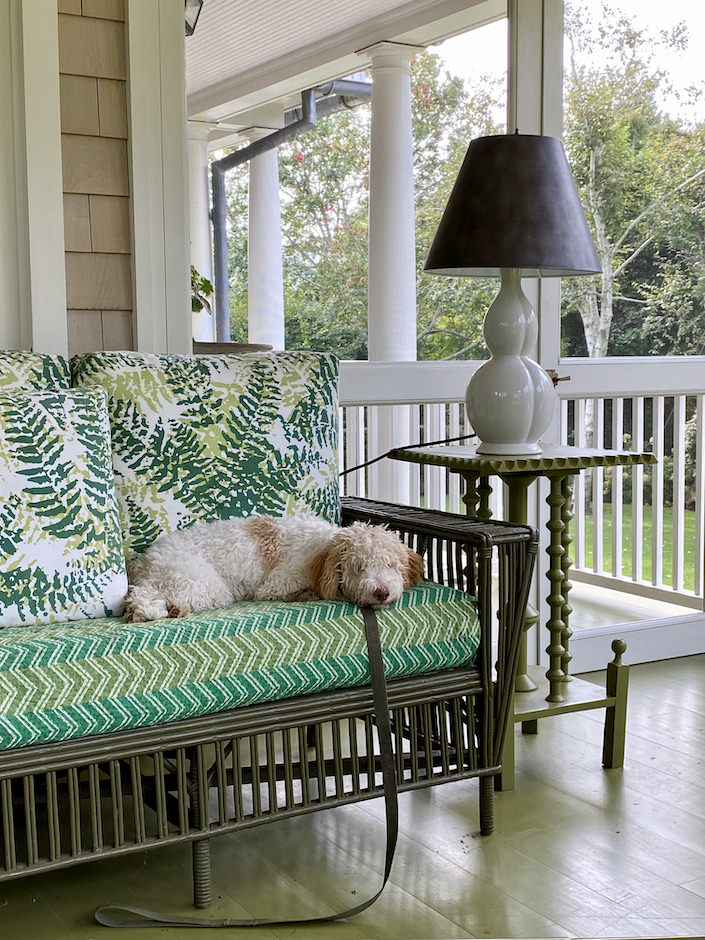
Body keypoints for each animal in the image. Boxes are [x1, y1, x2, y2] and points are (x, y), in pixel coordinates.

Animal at [124, 516, 424, 624]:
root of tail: (144, 559)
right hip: (204, 583)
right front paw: (304, 595)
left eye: (391, 565)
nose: (381, 592)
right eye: (359, 567)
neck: (324, 548)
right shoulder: (277, 583)